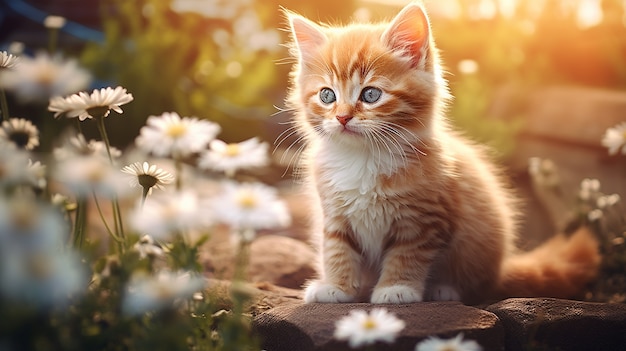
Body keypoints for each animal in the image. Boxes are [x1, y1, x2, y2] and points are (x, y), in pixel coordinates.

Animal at [282, 1, 596, 306]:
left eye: (371, 95)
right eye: (327, 95)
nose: (342, 117)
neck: (364, 157)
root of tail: (502, 267)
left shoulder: (423, 220)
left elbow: (407, 255)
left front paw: (397, 289)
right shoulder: (334, 214)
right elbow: (337, 249)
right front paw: (337, 287)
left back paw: (444, 289)